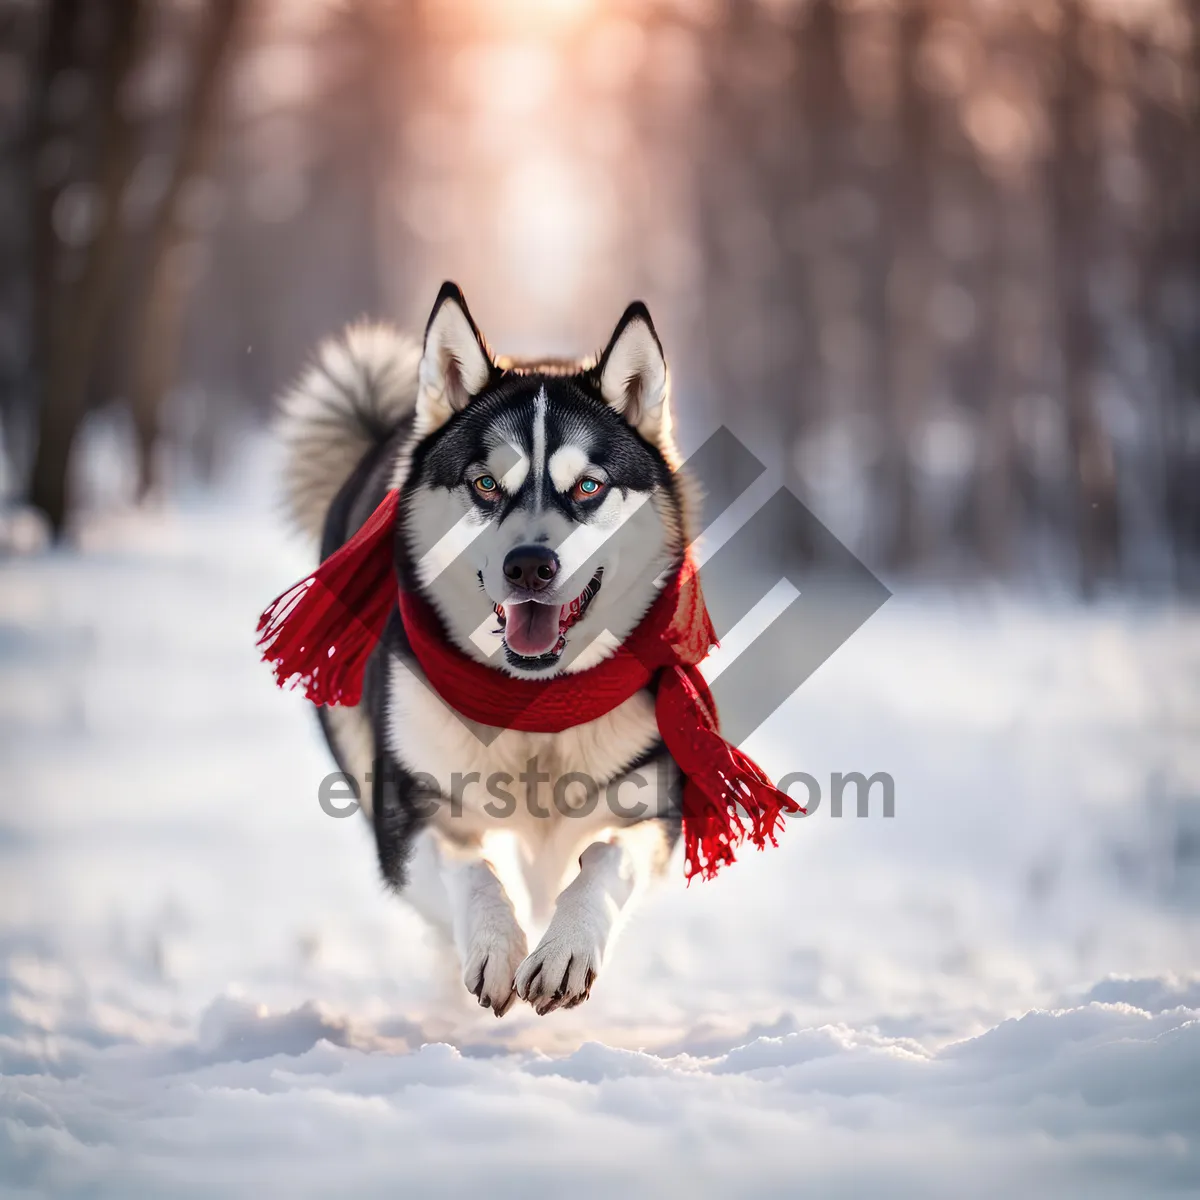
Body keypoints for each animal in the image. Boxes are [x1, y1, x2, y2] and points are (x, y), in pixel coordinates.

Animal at [278, 285, 696, 1017]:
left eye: (588, 486)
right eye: (486, 485)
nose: (530, 565)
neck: (534, 705)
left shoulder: (647, 805)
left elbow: (604, 860)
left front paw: (564, 950)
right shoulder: (410, 816)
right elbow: (470, 867)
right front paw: (498, 944)